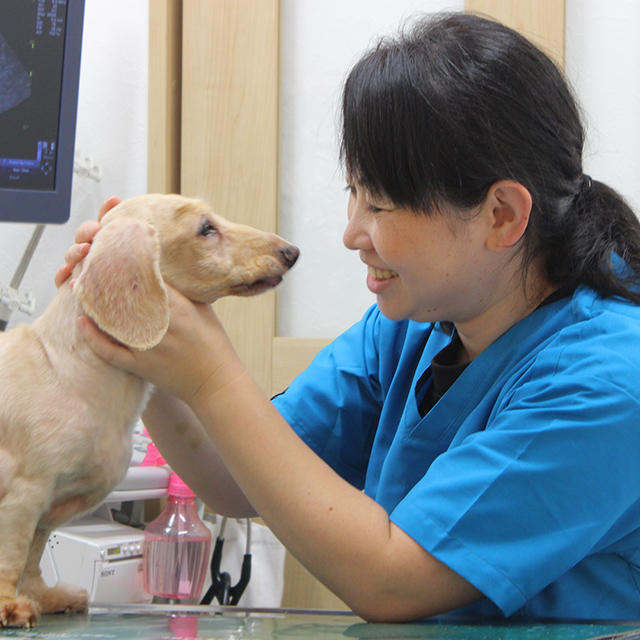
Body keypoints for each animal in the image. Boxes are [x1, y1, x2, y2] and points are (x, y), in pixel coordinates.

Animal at [0, 194, 298, 624]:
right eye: (205, 228)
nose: (292, 252)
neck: (66, 367)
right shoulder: (25, 495)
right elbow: (13, 554)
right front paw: (10, 603)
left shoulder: (50, 508)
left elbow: (34, 555)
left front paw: (45, 595)